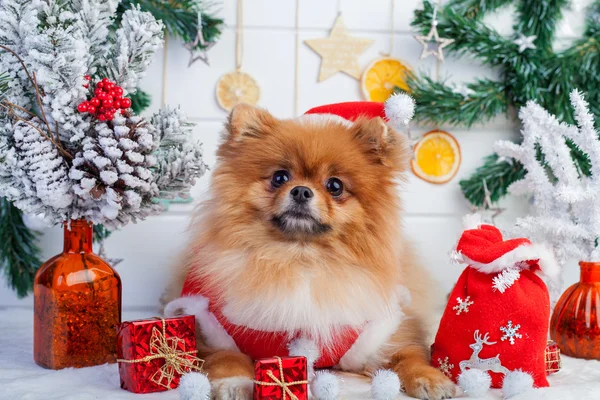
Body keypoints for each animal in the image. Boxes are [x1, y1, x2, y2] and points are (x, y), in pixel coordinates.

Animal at [163, 103, 454, 400]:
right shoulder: (213, 331)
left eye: (335, 186)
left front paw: (431, 378)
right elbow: (227, 358)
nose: (301, 191)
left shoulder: (387, 331)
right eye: (279, 177)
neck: (301, 257)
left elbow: (410, 354)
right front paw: (234, 384)